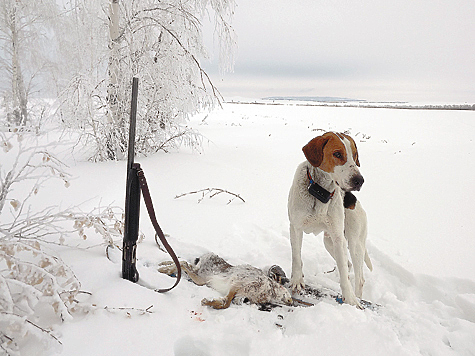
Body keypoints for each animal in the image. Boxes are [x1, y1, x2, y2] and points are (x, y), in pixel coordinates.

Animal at [288, 132, 374, 308]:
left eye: (355, 155)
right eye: (337, 154)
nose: (359, 180)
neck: (320, 192)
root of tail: (355, 201)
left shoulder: (338, 238)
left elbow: (344, 275)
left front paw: (350, 299)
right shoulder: (295, 228)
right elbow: (296, 257)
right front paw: (297, 280)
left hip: (353, 243)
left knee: (358, 277)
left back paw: (358, 298)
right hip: (329, 242)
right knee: (348, 266)